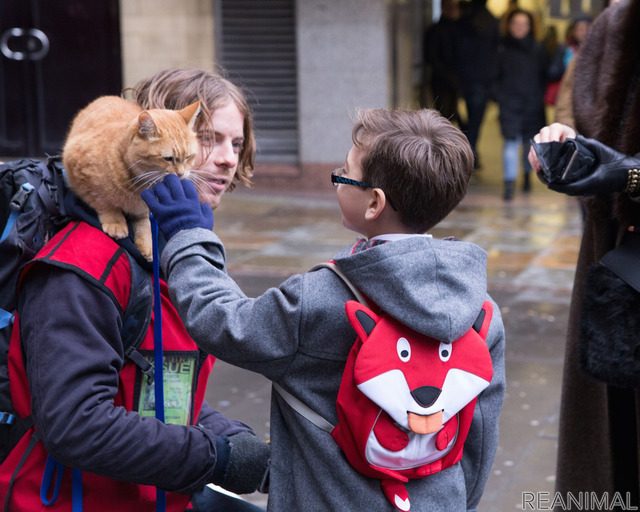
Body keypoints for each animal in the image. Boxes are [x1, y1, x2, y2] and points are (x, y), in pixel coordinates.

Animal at [62, 95, 199, 260]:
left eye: (188, 157)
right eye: (167, 158)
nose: (181, 174)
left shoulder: (143, 207)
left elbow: (144, 221)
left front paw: (147, 242)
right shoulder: (81, 174)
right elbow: (104, 203)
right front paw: (115, 222)